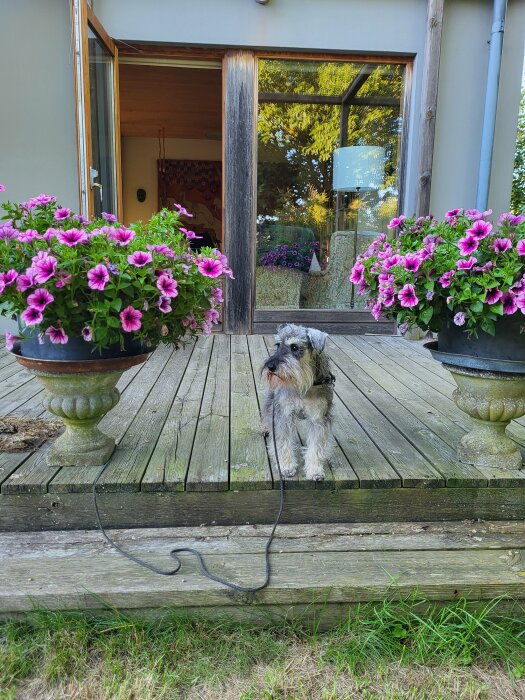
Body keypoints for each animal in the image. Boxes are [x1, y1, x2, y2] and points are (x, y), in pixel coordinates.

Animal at [260, 324, 334, 482]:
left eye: (294, 347)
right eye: (277, 345)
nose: (270, 366)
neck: (303, 383)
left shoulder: (318, 419)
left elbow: (316, 447)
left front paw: (315, 470)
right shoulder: (283, 415)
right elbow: (283, 443)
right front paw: (286, 466)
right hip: (272, 399)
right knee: (267, 411)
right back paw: (265, 427)